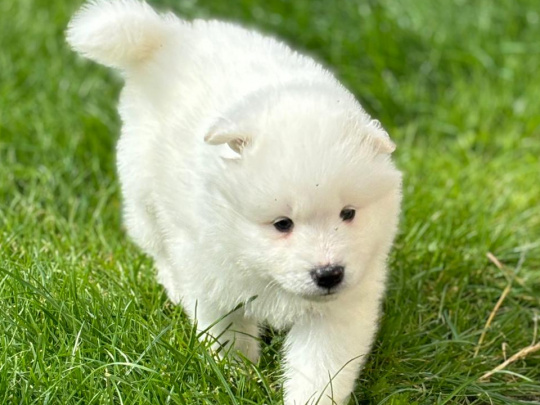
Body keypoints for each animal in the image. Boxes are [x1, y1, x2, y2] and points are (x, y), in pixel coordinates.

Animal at [67, 1, 402, 402]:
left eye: (348, 213)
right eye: (282, 224)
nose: (329, 274)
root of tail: (170, 36)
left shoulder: (338, 310)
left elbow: (320, 369)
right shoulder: (214, 275)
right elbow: (227, 334)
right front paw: (237, 378)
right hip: (143, 194)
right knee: (159, 249)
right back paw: (175, 286)